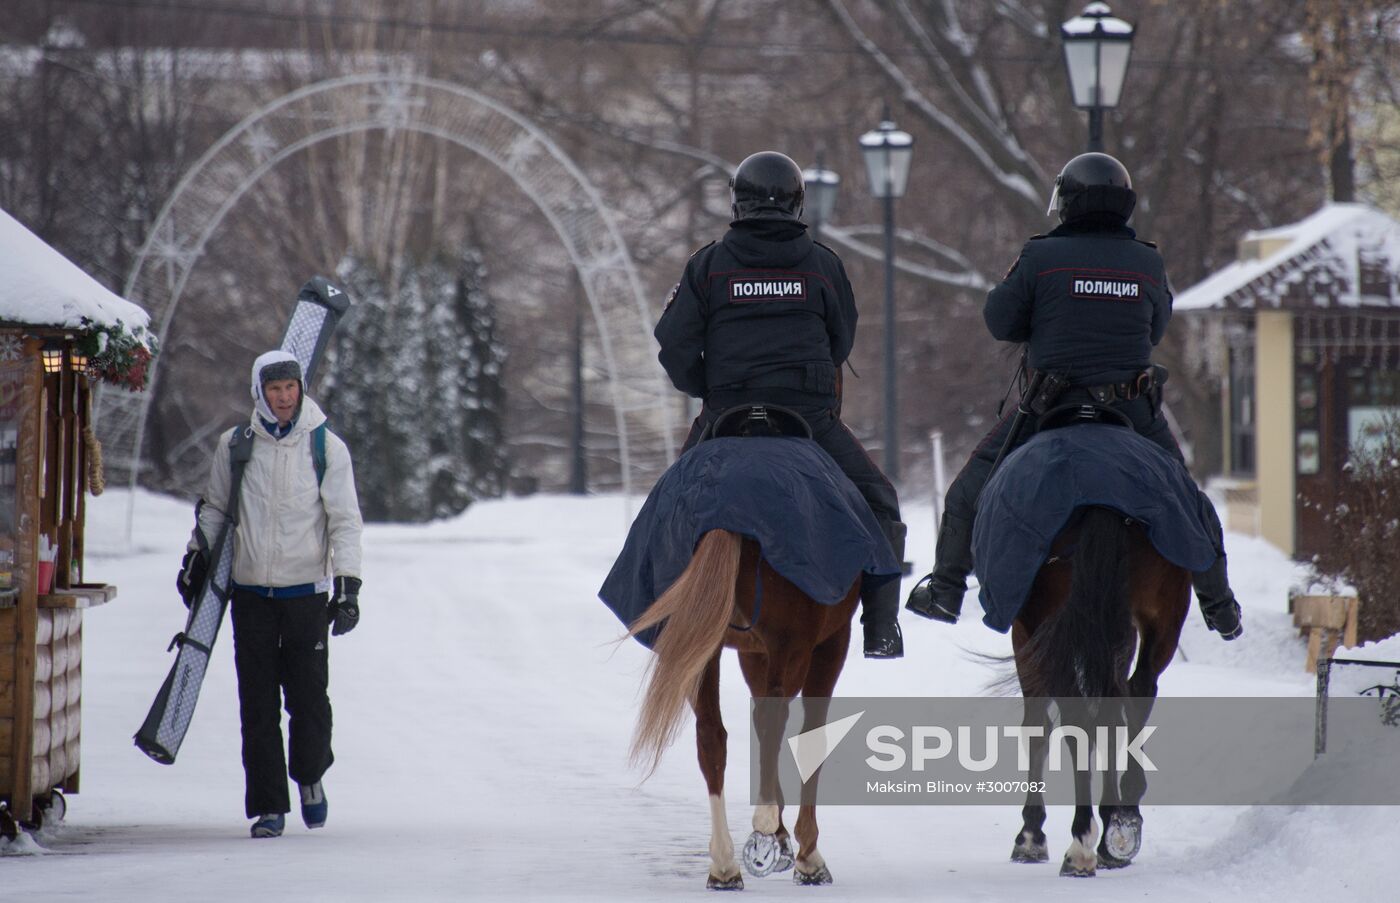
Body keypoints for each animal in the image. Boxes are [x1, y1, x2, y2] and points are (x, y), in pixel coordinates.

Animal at [627, 529, 862, 884]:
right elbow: (810, 738)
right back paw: (764, 826)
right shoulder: (830, 641)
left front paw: (782, 837)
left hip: (705, 649)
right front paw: (807, 855)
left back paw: (724, 864)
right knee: (773, 720)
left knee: (712, 734)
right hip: (791, 646)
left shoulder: (752, 652)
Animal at [1008, 506, 1192, 873]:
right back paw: (1123, 821)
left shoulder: (1027, 635)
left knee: (1077, 720)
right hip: (1156, 621)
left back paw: (1081, 842)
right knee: (1136, 694)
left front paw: (1031, 835)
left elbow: (1038, 728)